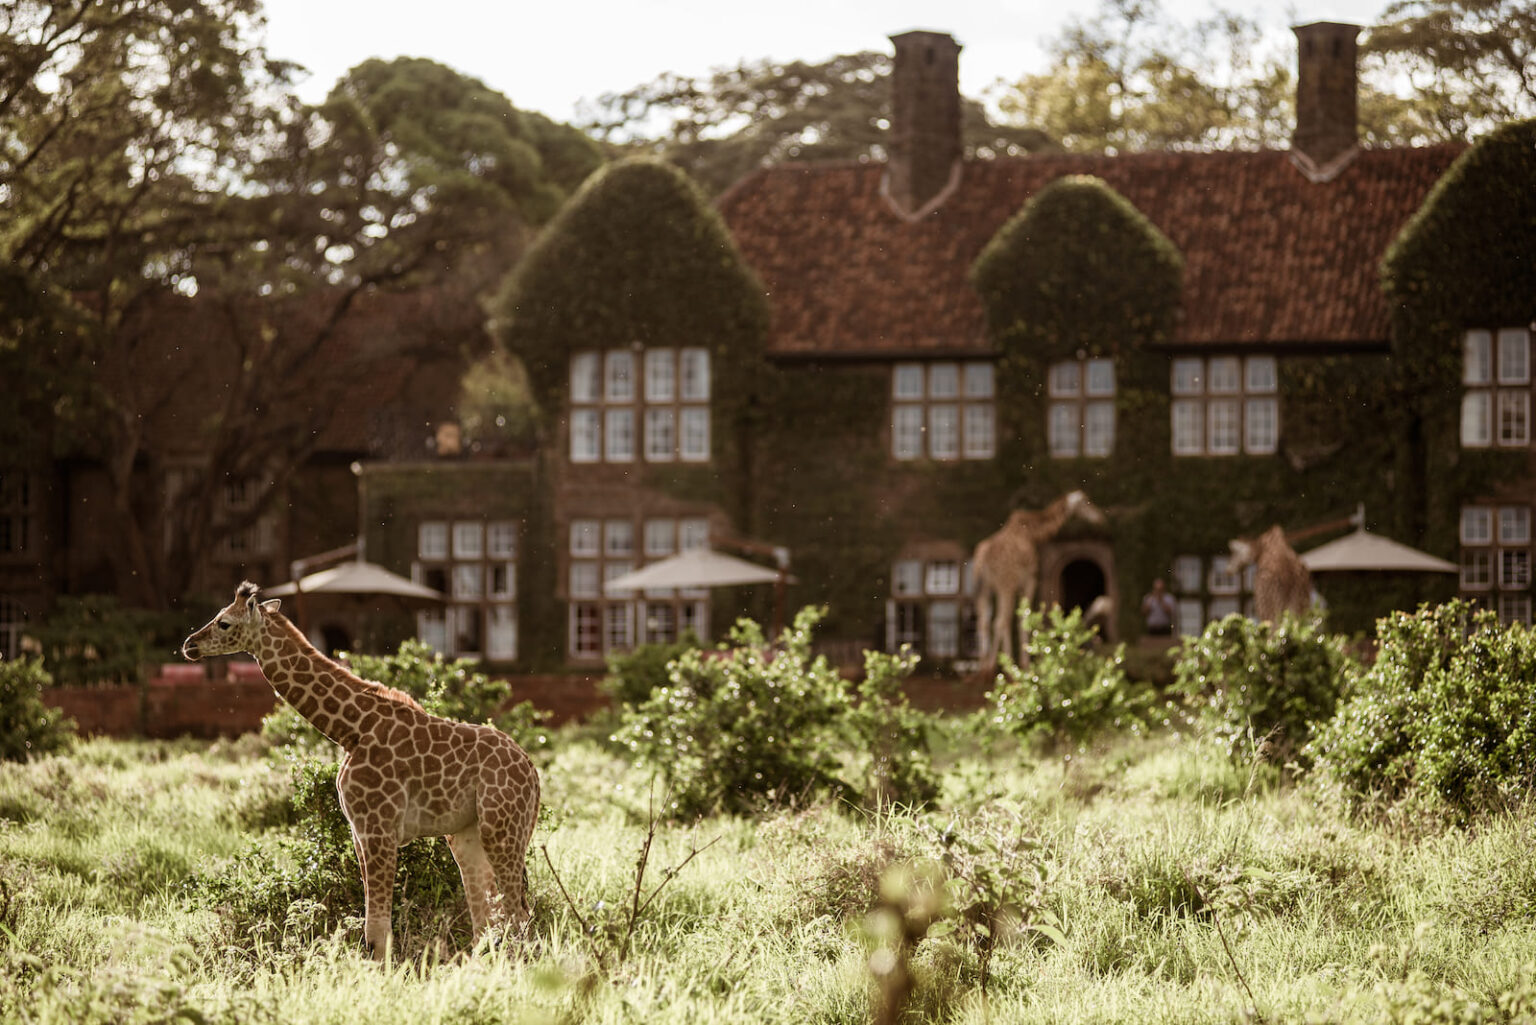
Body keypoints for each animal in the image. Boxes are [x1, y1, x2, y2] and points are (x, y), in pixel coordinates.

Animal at [182, 582, 539, 959]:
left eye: (223, 622)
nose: (190, 644)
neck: (350, 729)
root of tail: (533, 774)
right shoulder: (358, 831)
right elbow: (374, 926)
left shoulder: (377, 827)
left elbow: (377, 930)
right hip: (466, 834)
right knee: (486, 921)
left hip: (501, 828)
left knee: (518, 915)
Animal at [972, 490, 1107, 666]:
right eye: (1086, 501)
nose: (1100, 517)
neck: (1033, 533)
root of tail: (982, 560)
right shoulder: (1029, 580)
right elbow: (1023, 617)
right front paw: (1025, 664)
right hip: (1005, 584)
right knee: (1000, 621)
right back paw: (1003, 666)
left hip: (985, 587)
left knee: (984, 621)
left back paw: (985, 666)